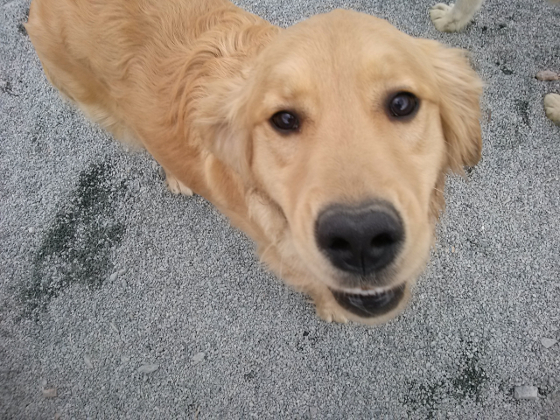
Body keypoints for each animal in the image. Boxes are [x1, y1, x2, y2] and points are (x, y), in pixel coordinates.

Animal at [25, 0, 482, 324]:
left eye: (403, 103)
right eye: (284, 119)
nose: (360, 236)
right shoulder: (288, 259)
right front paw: (331, 309)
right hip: (106, 112)